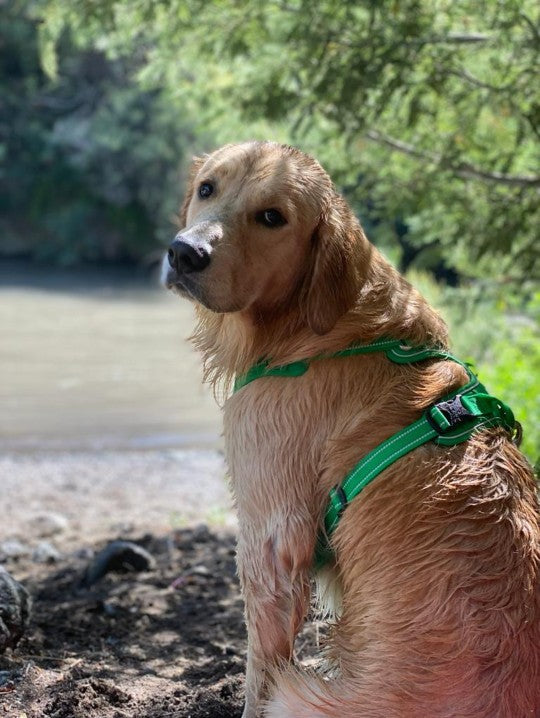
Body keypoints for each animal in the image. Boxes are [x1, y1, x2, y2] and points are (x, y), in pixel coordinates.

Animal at [163, 142, 540, 718]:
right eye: (208, 188)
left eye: (272, 217)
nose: (185, 253)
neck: (321, 330)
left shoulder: (269, 535)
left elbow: (260, 668)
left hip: (303, 696)